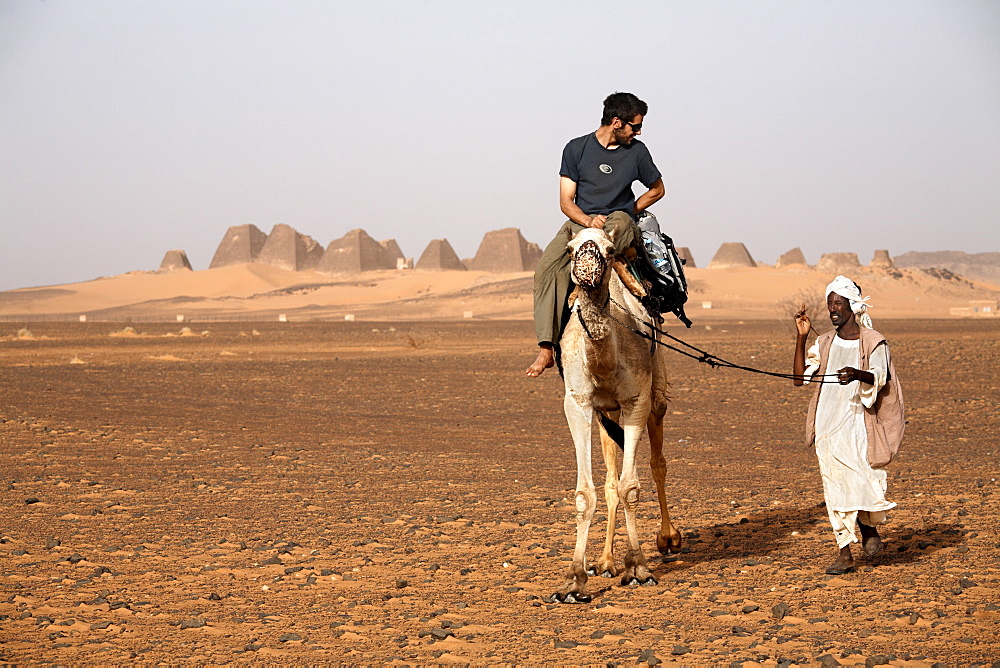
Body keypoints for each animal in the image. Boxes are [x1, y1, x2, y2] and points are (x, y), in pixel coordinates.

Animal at [552, 226, 684, 604]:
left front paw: (638, 567)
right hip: (605, 415)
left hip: (655, 391)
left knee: (658, 463)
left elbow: (631, 488)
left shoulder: (636, 400)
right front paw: (574, 581)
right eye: (570, 249)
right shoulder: (578, 403)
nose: (587, 268)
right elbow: (587, 493)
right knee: (610, 479)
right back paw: (607, 561)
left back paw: (668, 539)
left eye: (610, 250)